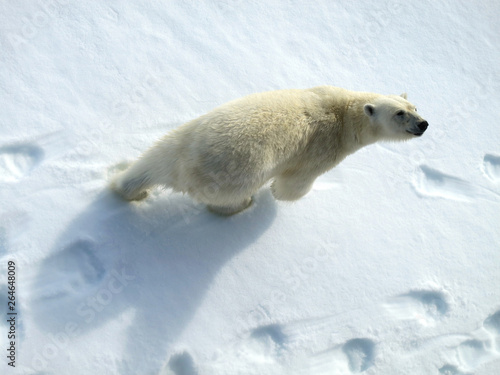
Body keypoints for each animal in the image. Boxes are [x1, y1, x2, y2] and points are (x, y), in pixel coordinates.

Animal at [111, 85, 428, 214]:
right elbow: (293, 186)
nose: (423, 124)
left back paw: (125, 186)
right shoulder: (323, 150)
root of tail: (184, 166)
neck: (343, 111)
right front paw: (277, 193)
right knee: (228, 199)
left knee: (149, 162)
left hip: (184, 134)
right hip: (232, 176)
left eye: (414, 107)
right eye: (399, 113)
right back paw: (243, 205)